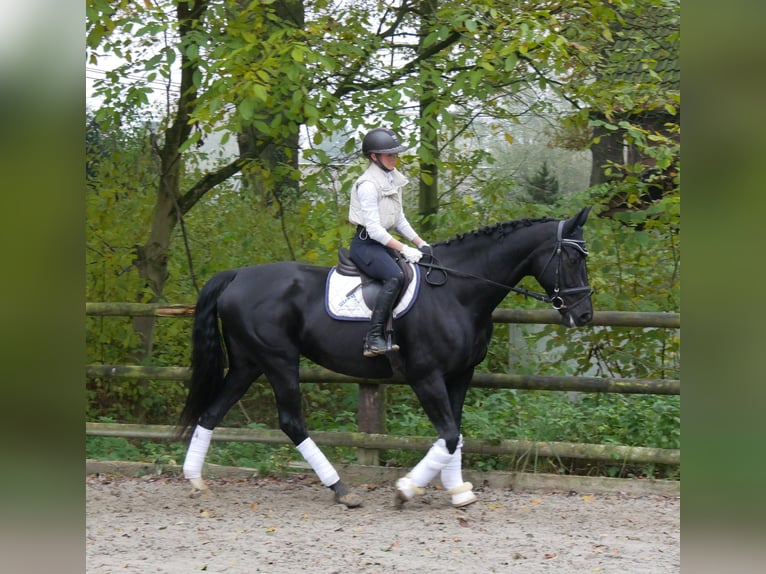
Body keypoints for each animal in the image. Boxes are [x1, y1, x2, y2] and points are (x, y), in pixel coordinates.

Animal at [178, 207, 592, 508]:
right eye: (572, 258)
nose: (584, 315)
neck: (458, 292)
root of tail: (236, 276)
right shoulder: (426, 376)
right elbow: (449, 433)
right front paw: (406, 489)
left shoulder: (461, 374)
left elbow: (454, 434)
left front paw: (457, 490)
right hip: (279, 360)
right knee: (291, 422)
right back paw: (342, 490)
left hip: (248, 363)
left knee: (211, 413)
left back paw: (195, 480)